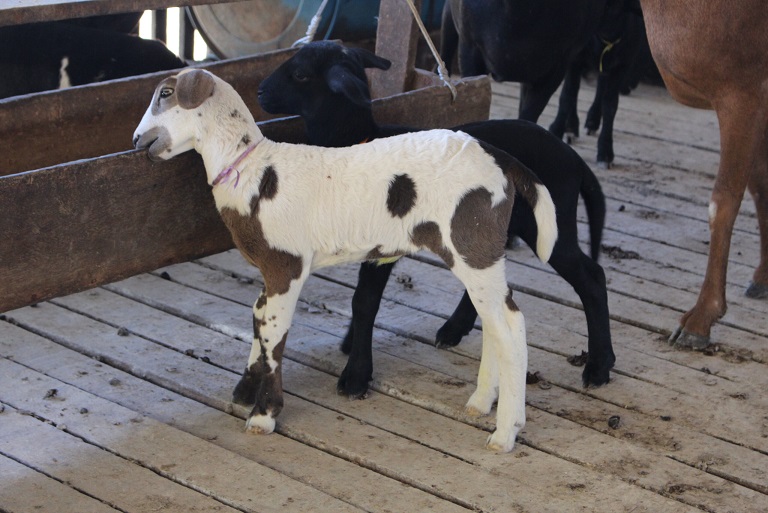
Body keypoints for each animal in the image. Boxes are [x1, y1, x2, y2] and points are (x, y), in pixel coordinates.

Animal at [133, 68, 558, 452]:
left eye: (166, 93)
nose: (138, 140)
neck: (253, 170)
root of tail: (501, 160)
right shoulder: (269, 270)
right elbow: (257, 318)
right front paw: (245, 389)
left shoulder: (286, 264)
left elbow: (274, 334)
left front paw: (264, 415)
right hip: (478, 250)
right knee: (494, 320)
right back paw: (481, 402)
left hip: (471, 239)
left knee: (510, 326)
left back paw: (505, 433)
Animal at [257, 41, 614, 400]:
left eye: (301, 74)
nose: (259, 91)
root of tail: (574, 160)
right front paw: (350, 342)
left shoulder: (383, 247)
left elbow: (364, 301)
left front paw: (356, 374)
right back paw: (455, 328)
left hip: (551, 224)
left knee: (592, 277)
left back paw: (599, 366)